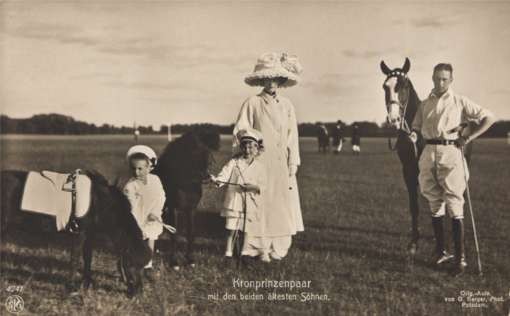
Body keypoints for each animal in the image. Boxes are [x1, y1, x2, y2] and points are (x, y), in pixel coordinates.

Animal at [153, 126, 221, 270]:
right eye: (193, 152)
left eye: (208, 152)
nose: (205, 176)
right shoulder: (174, 208)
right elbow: (174, 233)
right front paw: (174, 262)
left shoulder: (191, 209)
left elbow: (191, 233)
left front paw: (190, 259)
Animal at [378, 57, 474, 254]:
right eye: (385, 86)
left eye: (404, 85)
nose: (393, 120)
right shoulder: (408, 172)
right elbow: (414, 206)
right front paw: (414, 242)